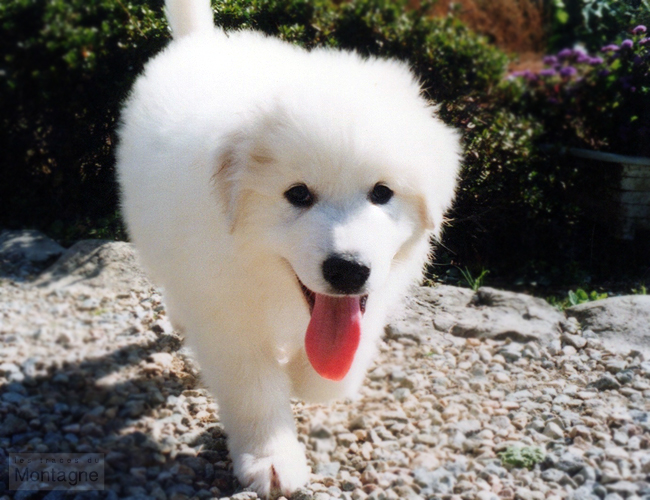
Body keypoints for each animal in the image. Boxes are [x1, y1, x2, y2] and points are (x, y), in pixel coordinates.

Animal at [116, 0, 460, 496]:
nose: (347, 271)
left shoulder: (376, 295)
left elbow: (332, 370)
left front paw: (304, 377)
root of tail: (204, 41)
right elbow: (254, 388)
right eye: (297, 195)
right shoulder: (225, 313)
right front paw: (272, 460)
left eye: (382, 193)